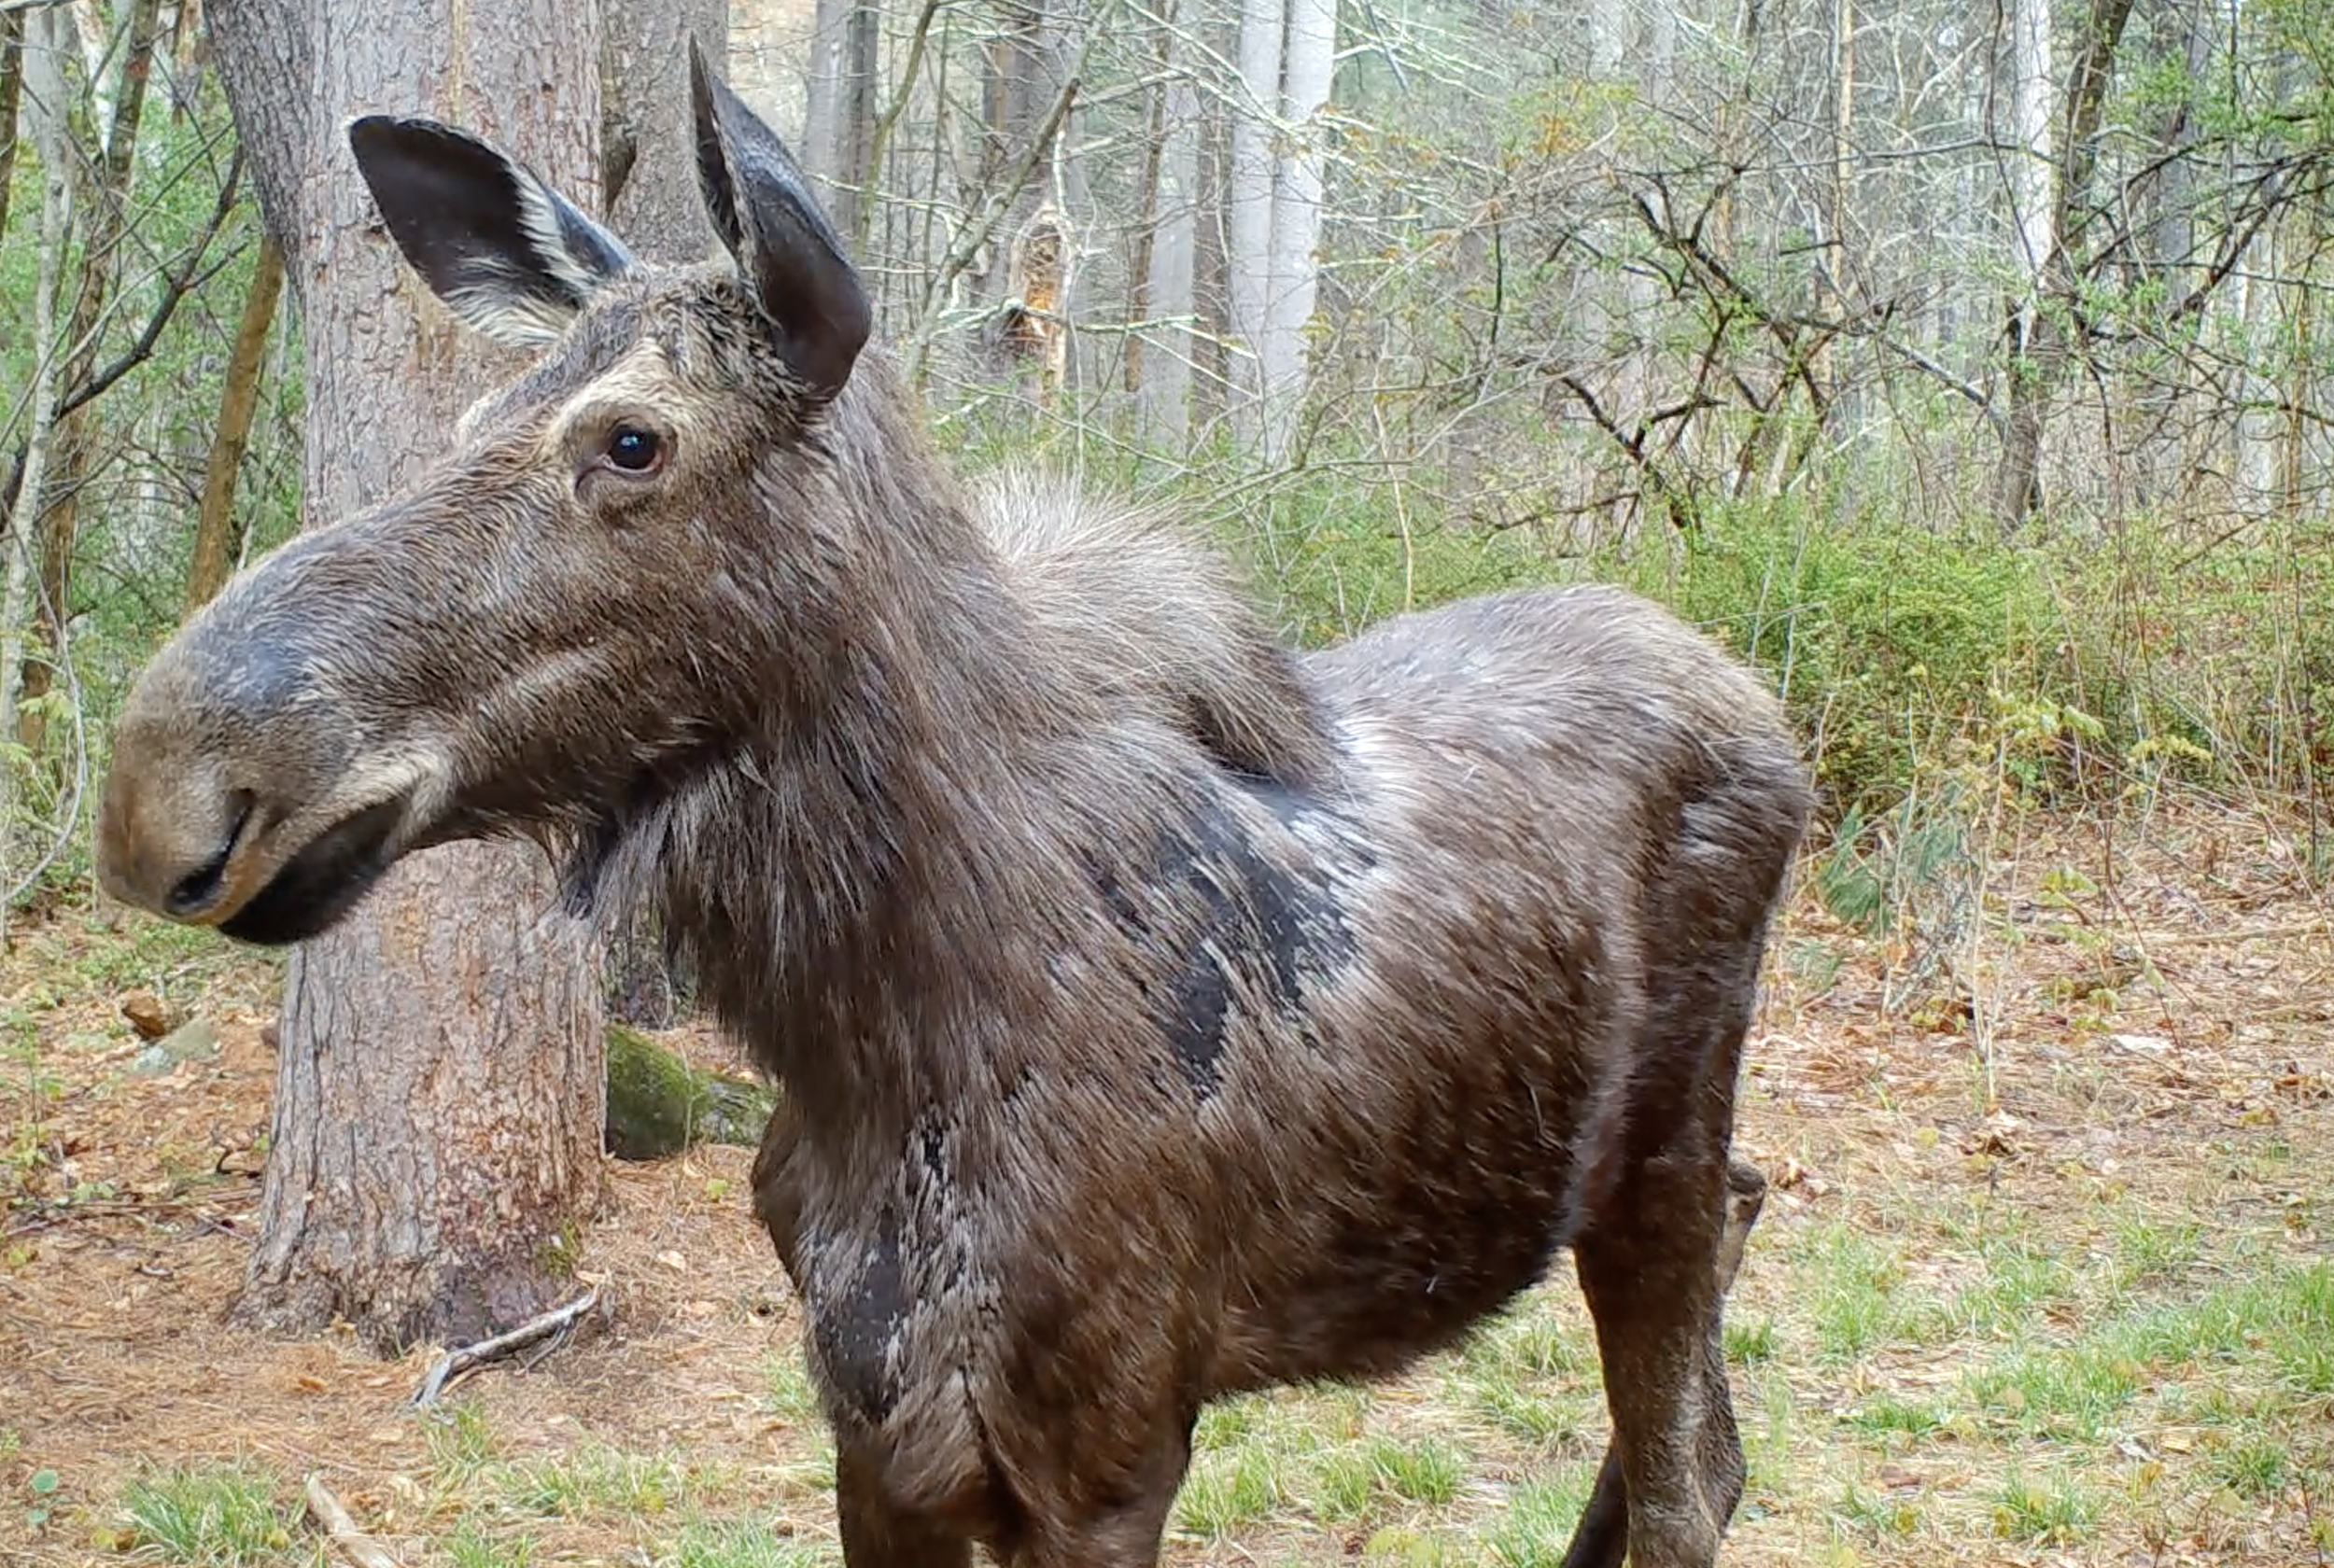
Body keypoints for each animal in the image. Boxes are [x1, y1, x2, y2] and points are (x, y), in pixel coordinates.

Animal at [95, 44, 1810, 1568]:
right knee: (1719, 1389)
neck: (870, 1032)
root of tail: (1761, 708)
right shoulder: (876, 1434)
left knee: (1688, 1474)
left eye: (631, 440)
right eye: (465, 426)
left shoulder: (1109, 1448)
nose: (160, 789)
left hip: (1658, 1161)